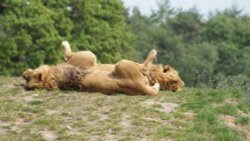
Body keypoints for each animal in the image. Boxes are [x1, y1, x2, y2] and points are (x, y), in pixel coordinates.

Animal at [23, 49, 160, 94]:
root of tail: (140, 87)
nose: (24, 74)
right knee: (144, 66)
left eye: (28, 77)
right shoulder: (88, 56)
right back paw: (153, 53)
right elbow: (69, 52)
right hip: (121, 64)